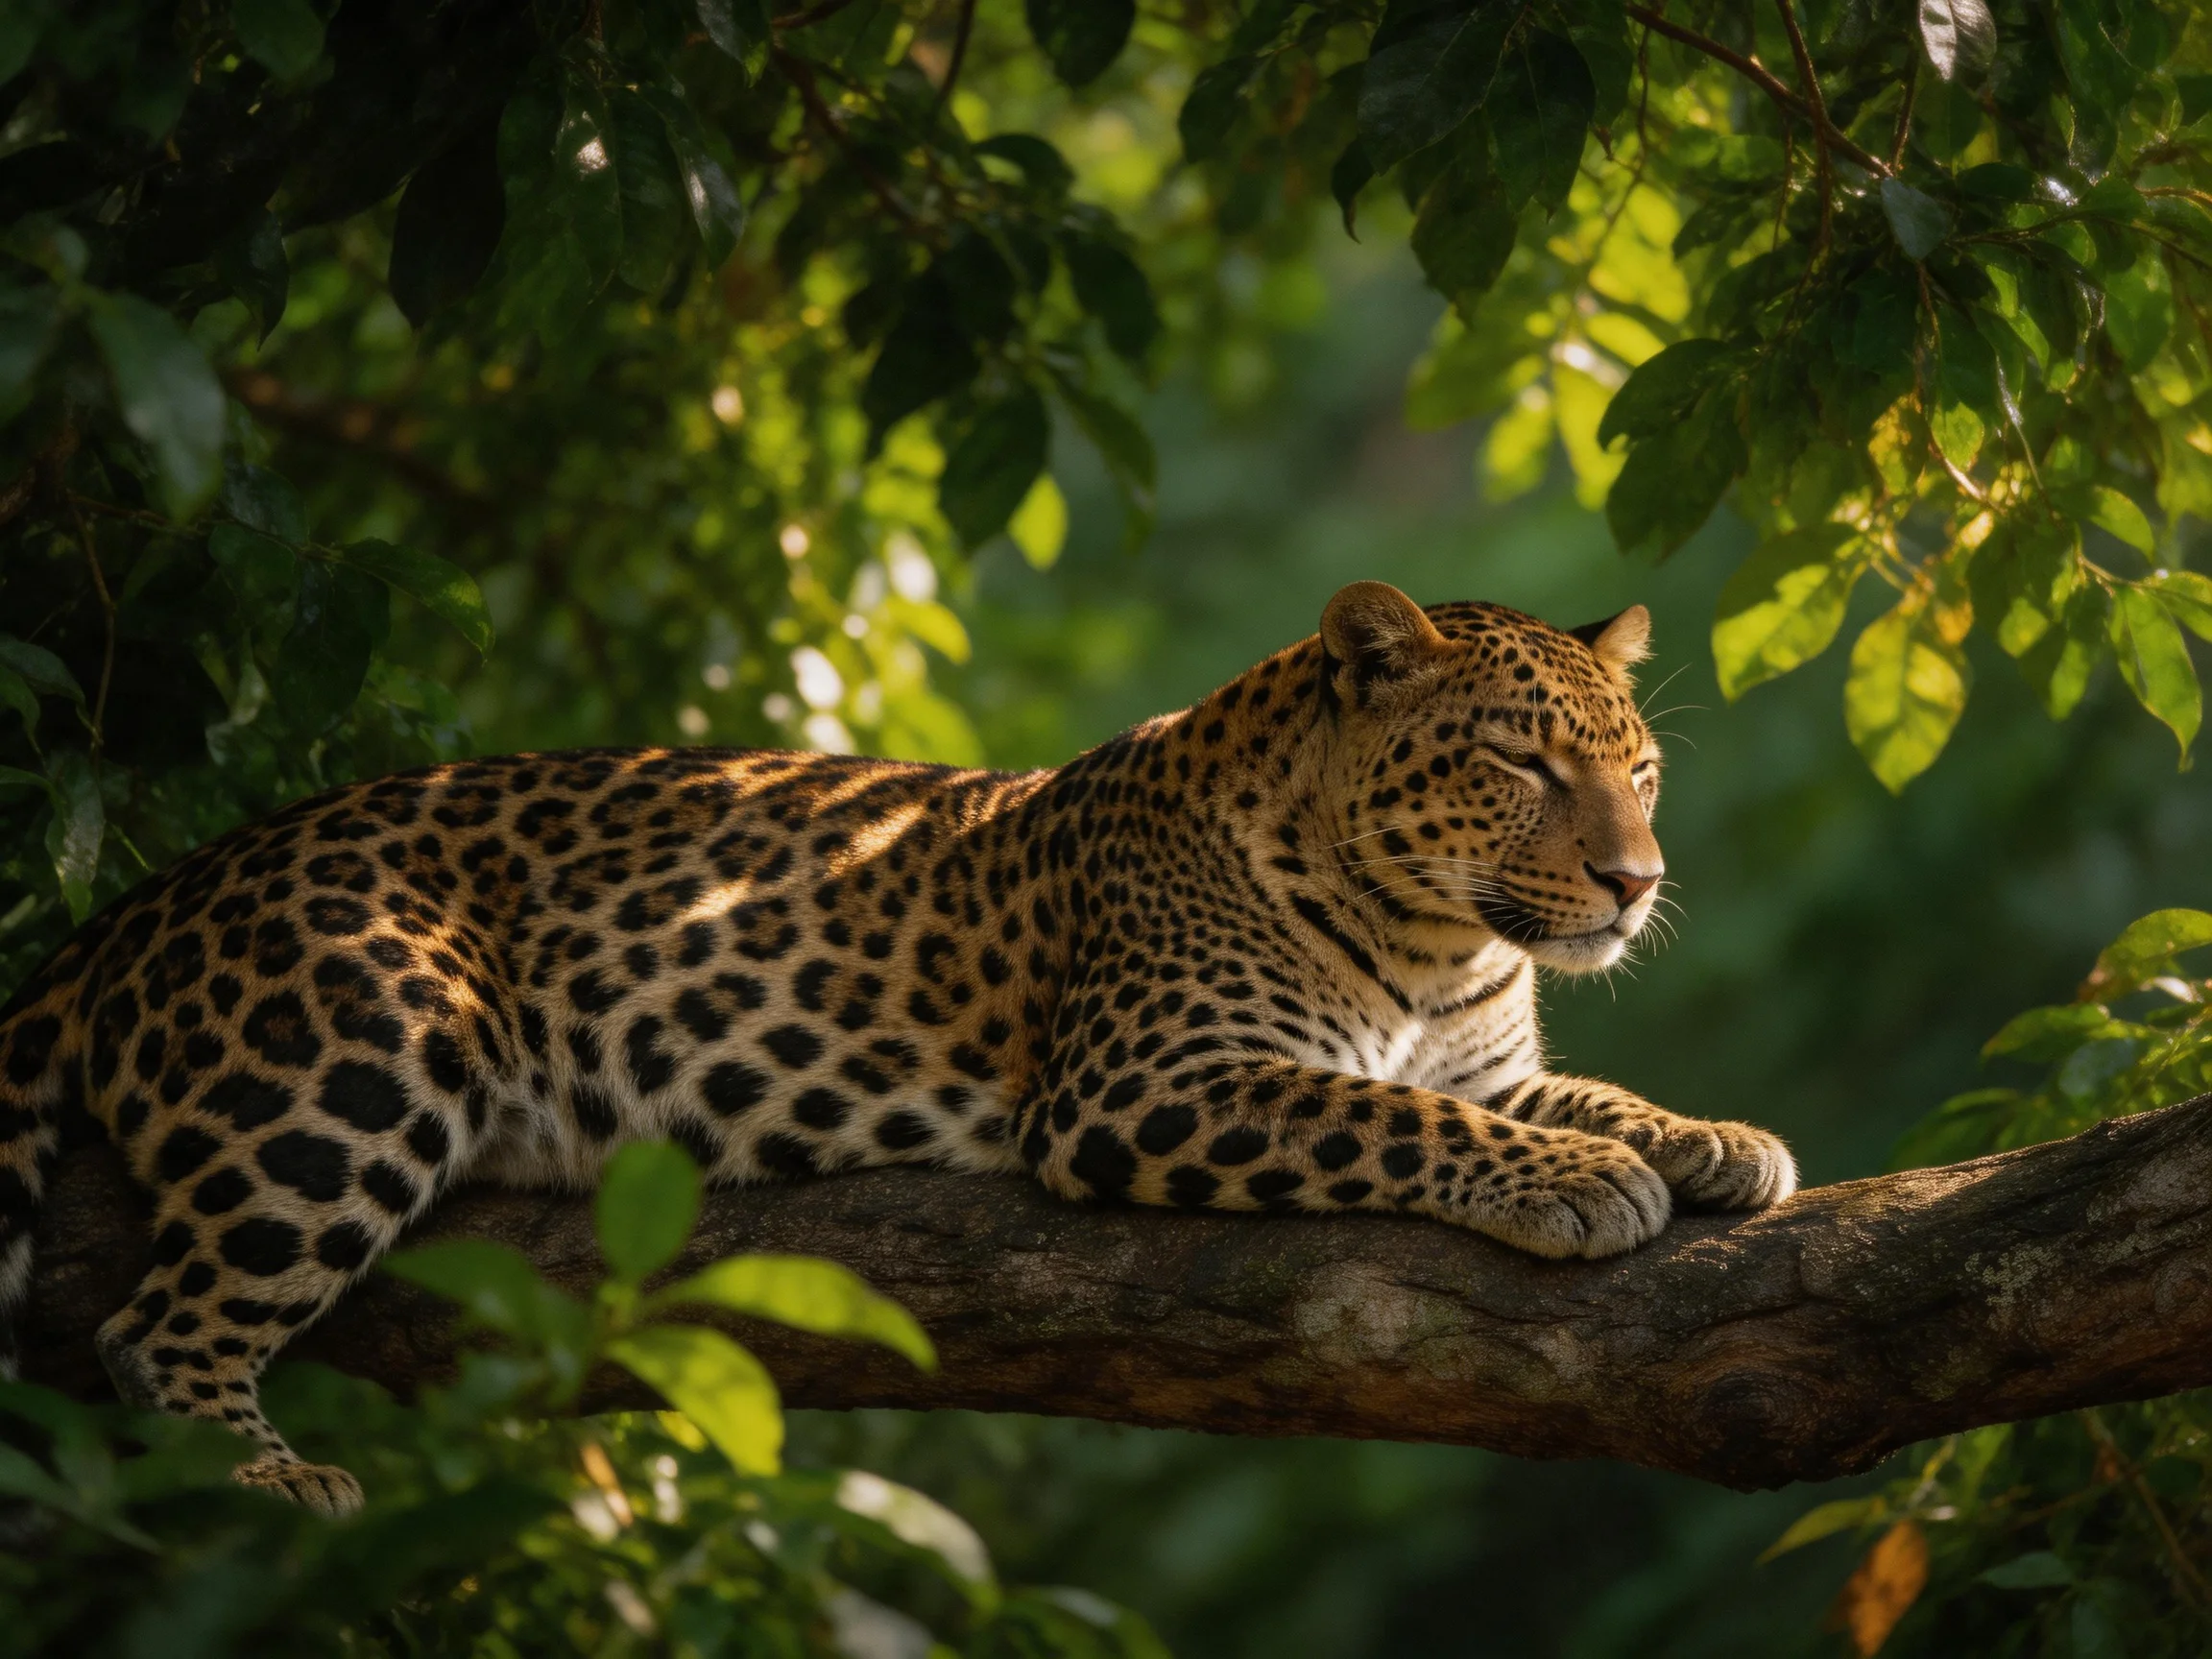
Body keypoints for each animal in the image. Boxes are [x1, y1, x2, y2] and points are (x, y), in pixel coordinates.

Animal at [0, 580, 1796, 1516]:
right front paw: (1578, 1183)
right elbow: (1394, 1122)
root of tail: (154, 894)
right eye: (1518, 761)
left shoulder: (1481, 1054)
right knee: (158, 1329)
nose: (1635, 880)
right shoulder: (1145, 1083)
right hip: (358, 1049)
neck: (1436, 945)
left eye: (1636, 766)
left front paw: (1716, 1138)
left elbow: (1574, 1091)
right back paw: (273, 1484)